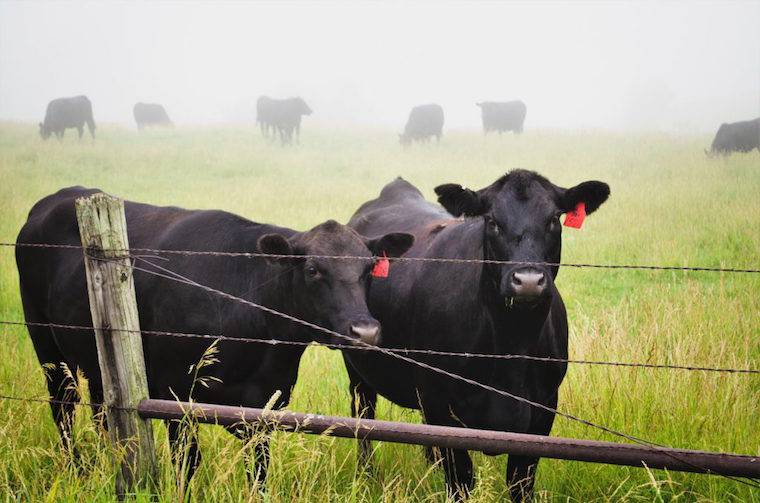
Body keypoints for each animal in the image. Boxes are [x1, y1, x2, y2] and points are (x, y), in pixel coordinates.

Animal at [16, 186, 413, 491]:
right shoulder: (175, 395)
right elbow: (187, 463)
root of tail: (59, 197)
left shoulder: (264, 406)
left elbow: (258, 471)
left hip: (96, 358)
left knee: (102, 410)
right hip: (46, 344)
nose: (364, 331)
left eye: (368, 269)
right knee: (63, 407)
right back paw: (78, 471)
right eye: (313, 270)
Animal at [345, 171, 610, 501]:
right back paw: (366, 475)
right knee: (363, 419)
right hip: (358, 370)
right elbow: (460, 478)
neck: (511, 346)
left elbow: (520, 482)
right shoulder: (440, 406)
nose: (528, 280)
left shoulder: (544, 409)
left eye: (552, 219)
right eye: (492, 221)